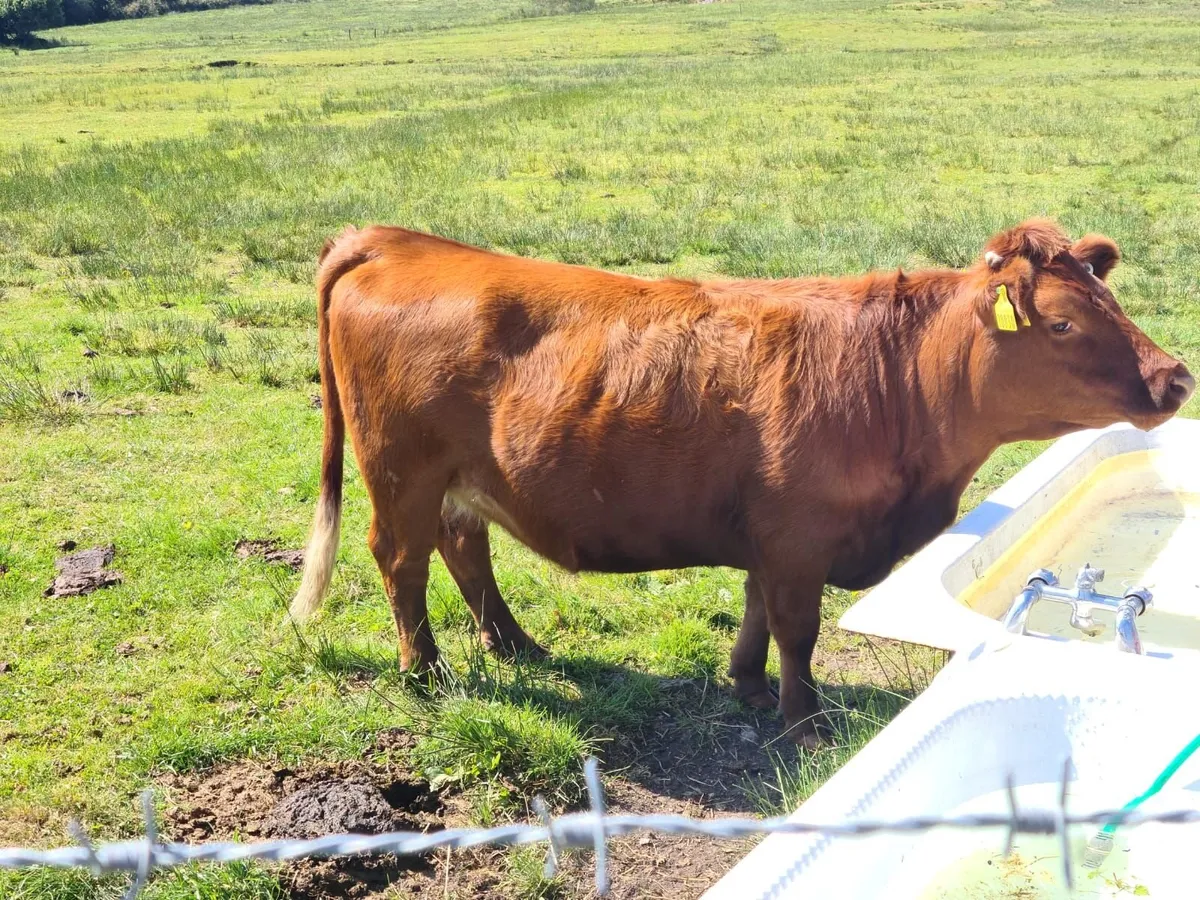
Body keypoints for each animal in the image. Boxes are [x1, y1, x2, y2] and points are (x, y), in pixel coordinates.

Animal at [289, 218, 1193, 746]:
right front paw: (803, 718)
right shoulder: (799, 536)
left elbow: (758, 611)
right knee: (401, 561)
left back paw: (514, 643)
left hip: (462, 479)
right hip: (401, 473)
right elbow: (798, 627)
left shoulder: (770, 534)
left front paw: (749, 687)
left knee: (464, 547)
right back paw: (425, 671)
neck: (894, 385)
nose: (1175, 378)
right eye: (1065, 323)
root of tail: (396, 239)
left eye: (1113, 301)